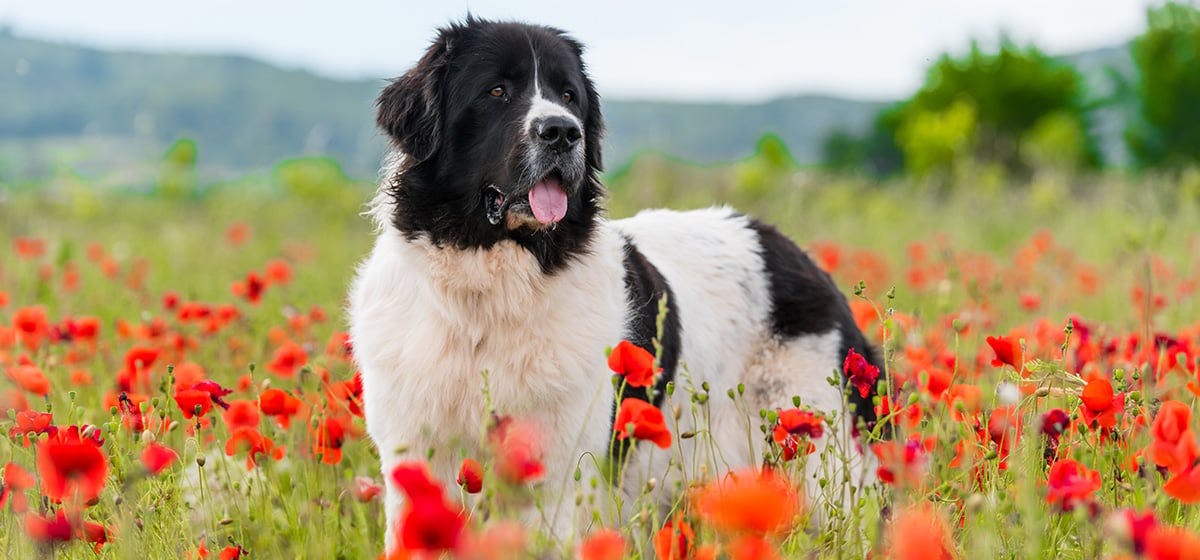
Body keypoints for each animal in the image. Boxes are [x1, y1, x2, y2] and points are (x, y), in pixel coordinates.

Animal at [348, 16, 883, 551]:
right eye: (496, 90)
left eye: (568, 95)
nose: (563, 132)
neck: (487, 293)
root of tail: (802, 259)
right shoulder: (418, 458)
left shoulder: (558, 479)